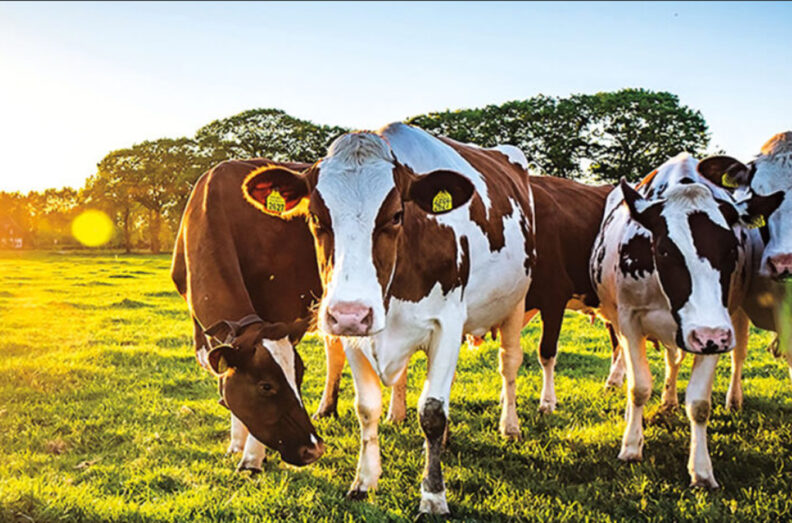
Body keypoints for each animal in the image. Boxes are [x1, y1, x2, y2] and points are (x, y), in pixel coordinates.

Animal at [171, 158, 326, 472]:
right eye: (265, 386)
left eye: (300, 375)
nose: (314, 450)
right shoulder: (206, 329)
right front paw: (235, 445)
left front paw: (252, 458)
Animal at [241, 122, 536, 515]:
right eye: (316, 217)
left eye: (396, 215)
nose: (350, 313)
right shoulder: (355, 334)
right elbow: (366, 408)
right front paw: (364, 481)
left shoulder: (448, 323)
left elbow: (432, 411)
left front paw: (433, 495)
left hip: (516, 303)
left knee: (509, 363)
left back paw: (510, 425)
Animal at [589, 152, 770, 488]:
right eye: (664, 250)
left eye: (731, 249)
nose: (709, 335)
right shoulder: (629, 319)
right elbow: (638, 387)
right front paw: (631, 446)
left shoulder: (715, 329)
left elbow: (699, 404)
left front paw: (701, 470)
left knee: (731, 356)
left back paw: (721, 399)